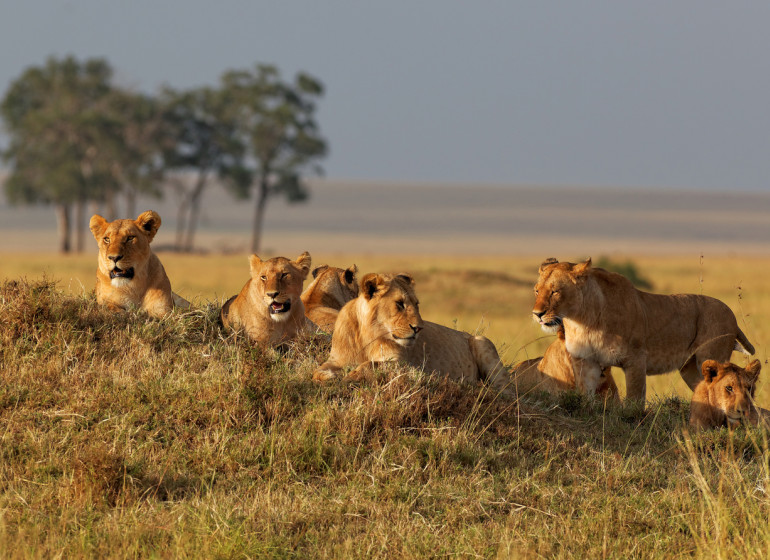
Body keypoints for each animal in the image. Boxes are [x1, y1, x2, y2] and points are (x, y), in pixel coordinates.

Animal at [308, 270, 512, 394]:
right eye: (399, 304)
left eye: (416, 304)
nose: (419, 328)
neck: (367, 336)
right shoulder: (336, 359)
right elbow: (317, 371)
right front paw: (330, 377)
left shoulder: (404, 366)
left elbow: (369, 365)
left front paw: (349, 377)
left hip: (482, 342)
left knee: (507, 391)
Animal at [532, 258, 752, 402]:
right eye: (537, 290)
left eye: (555, 291)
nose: (537, 314)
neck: (583, 321)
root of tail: (731, 314)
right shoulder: (586, 362)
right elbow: (586, 395)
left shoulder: (636, 359)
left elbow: (634, 401)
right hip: (689, 368)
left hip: (710, 358)